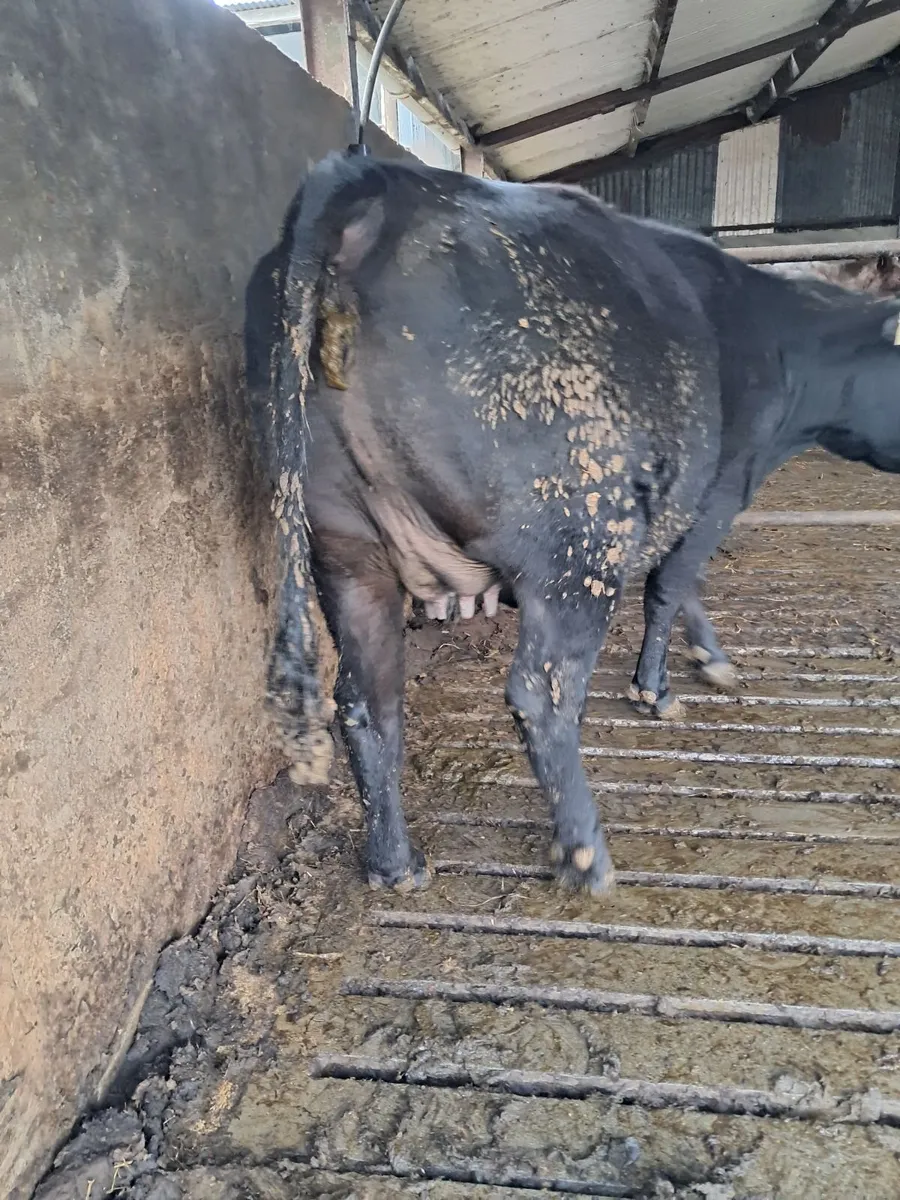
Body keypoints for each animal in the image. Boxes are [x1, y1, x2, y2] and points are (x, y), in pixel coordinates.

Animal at [256, 153, 900, 895]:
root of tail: (380, 180)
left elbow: (683, 585)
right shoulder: (720, 487)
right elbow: (672, 585)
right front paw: (664, 685)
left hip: (345, 548)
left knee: (367, 701)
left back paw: (396, 865)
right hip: (577, 541)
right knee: (542, 691)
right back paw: (585, 854)